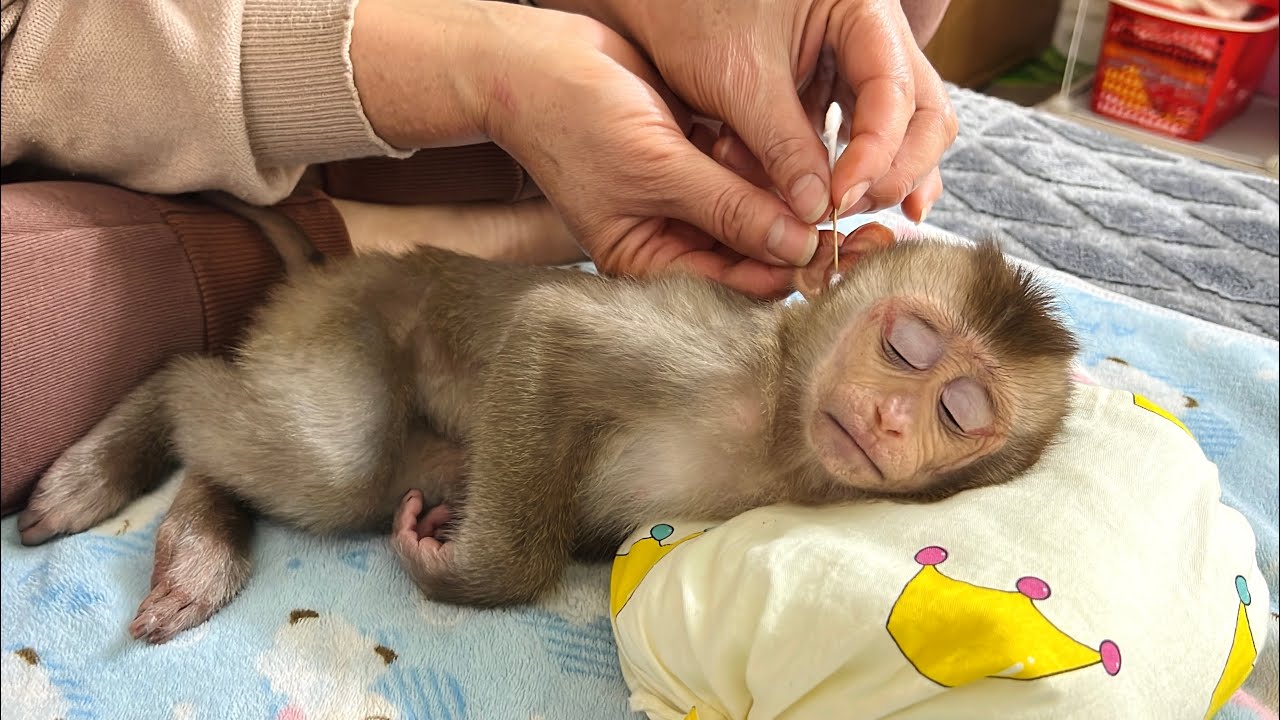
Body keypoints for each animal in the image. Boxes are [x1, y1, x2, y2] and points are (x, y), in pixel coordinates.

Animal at [15, 205, 1079, 645]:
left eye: (959, 412)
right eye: (908, 347)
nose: (892, 420)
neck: (778, 421)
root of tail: (333, 266)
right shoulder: (710, 352)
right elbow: (552, 325)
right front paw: (477, 574)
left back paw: (198, 535)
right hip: (339, 316)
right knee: (330, 459)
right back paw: (144, 422)